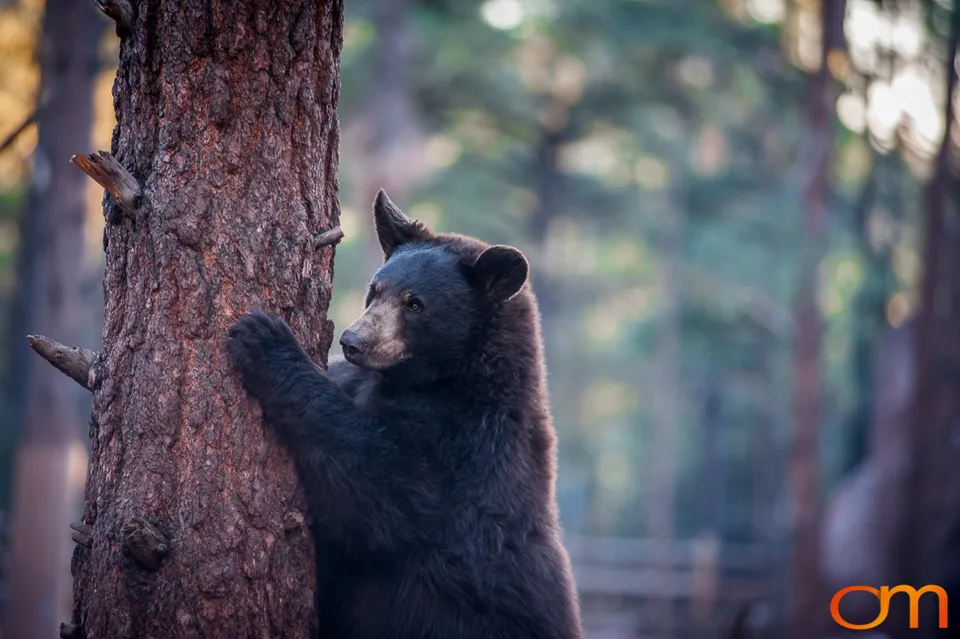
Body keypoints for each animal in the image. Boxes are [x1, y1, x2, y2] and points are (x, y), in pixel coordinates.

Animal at [226, 189, 583, 639]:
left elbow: (381, 490)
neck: (443, 378)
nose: (353, 340)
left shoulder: (468, 447)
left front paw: (263, 339)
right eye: (374, 289)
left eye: (415, 303)